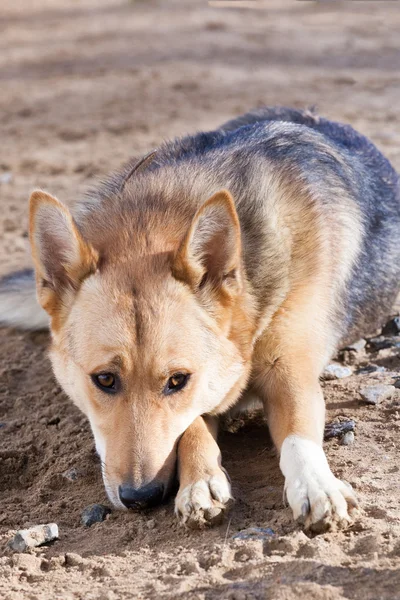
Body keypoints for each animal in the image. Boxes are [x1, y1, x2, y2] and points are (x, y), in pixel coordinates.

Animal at [0, 106, 400, 528]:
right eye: (104, 379)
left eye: (177, 380)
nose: (141, 498)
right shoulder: (208, 385)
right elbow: (191, 426)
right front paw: (201, 481)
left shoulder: (290, 371)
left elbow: (298, 436)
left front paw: (315, 484)